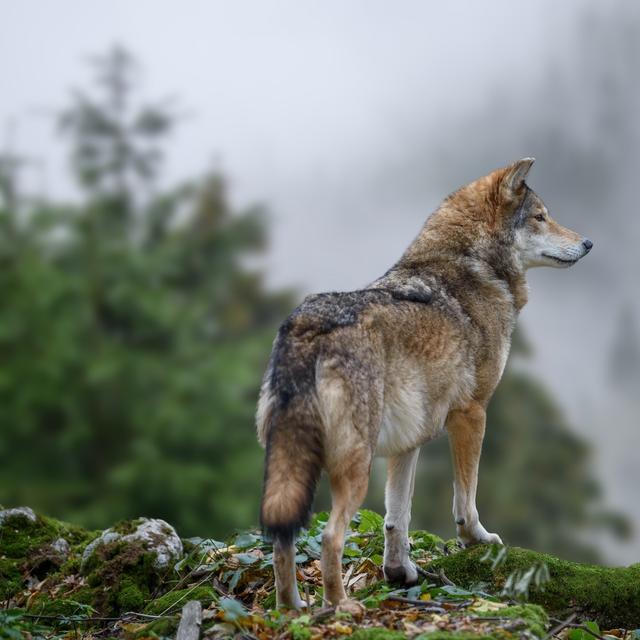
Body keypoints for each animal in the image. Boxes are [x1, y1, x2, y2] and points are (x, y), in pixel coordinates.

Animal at [256, 158, 592, 614]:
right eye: (541, 217)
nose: (588, 243)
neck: (472, 267)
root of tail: (308, 327)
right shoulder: (472, 414)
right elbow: (466, 499)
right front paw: (477, 540)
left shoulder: (408, 441)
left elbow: (397, 517)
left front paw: (399, 572)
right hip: (354, 468)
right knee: (329, 536)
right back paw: (340, 607)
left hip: (293, 466)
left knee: (282, 538)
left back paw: (292, 608)